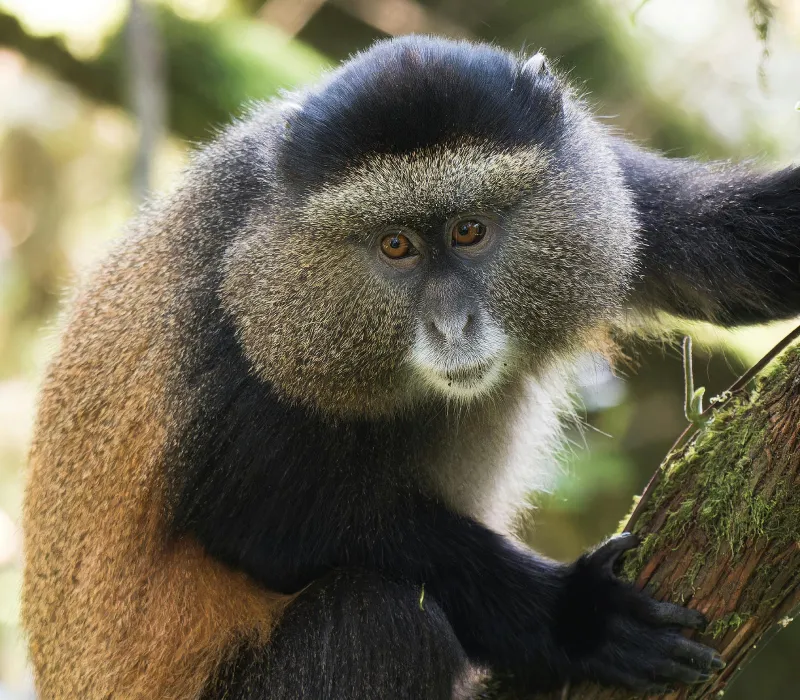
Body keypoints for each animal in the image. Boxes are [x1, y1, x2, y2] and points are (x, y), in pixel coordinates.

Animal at [21, 35, 799, 700]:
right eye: (395, 245)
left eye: (470, 231)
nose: (452, 326)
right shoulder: (233, 340)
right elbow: (263, 522)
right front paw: (581, 618)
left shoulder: (591, 180)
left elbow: (726, 248)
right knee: (387, 620)